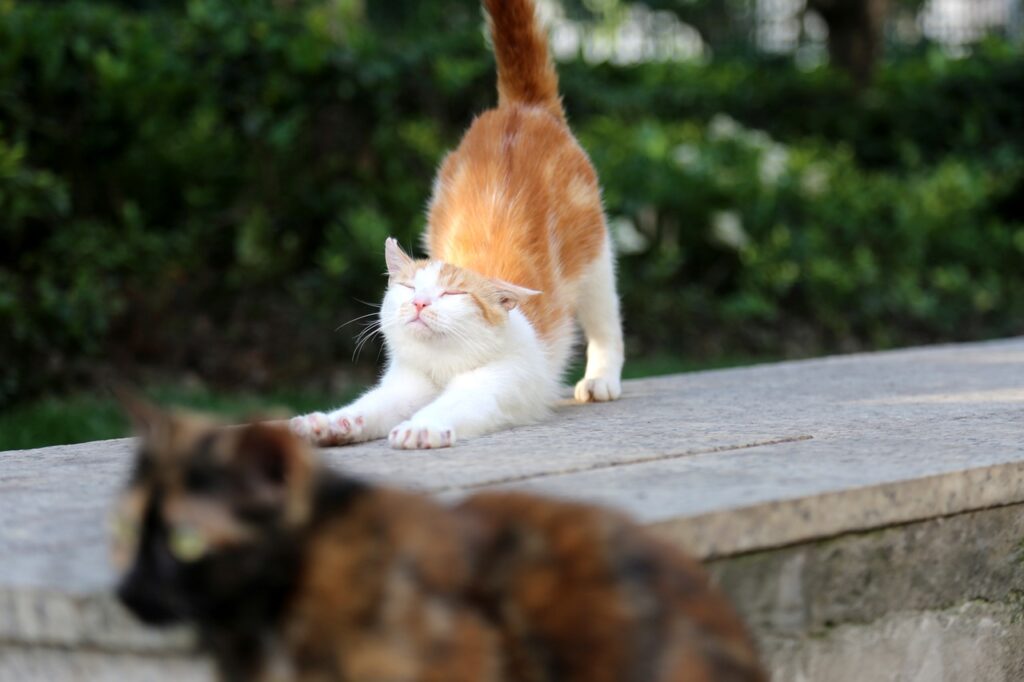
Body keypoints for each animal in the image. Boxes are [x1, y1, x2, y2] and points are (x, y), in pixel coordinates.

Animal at [288, 0, 622, 448]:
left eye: (452, 293)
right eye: (410, 287)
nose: (420, 303)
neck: (444, 364)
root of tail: (521, 109)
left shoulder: (497, 381)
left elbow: (454, 403)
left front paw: (421, 427)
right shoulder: (406, 384)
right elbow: (370, 407)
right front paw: (330, 424)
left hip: (596, 260)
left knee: (606, 321)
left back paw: (602, 380)